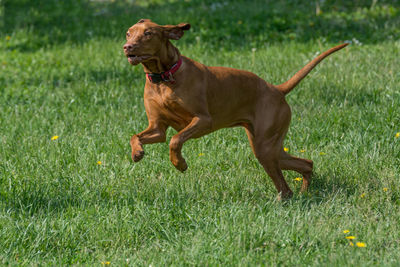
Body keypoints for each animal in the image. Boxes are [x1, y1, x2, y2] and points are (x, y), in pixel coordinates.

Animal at [123, 18, 348, 199]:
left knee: (285, 187)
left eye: (148, 33)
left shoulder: (203, 120)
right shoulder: (157, 128)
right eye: (128, 32)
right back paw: (303, 193)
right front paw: (137, 153)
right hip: (269, 148)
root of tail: (276, 89)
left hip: (265, 148)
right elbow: (136, 136)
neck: (163, 79)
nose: (127, 46)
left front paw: (179, 163)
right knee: (306, 164)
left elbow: (175, 140)